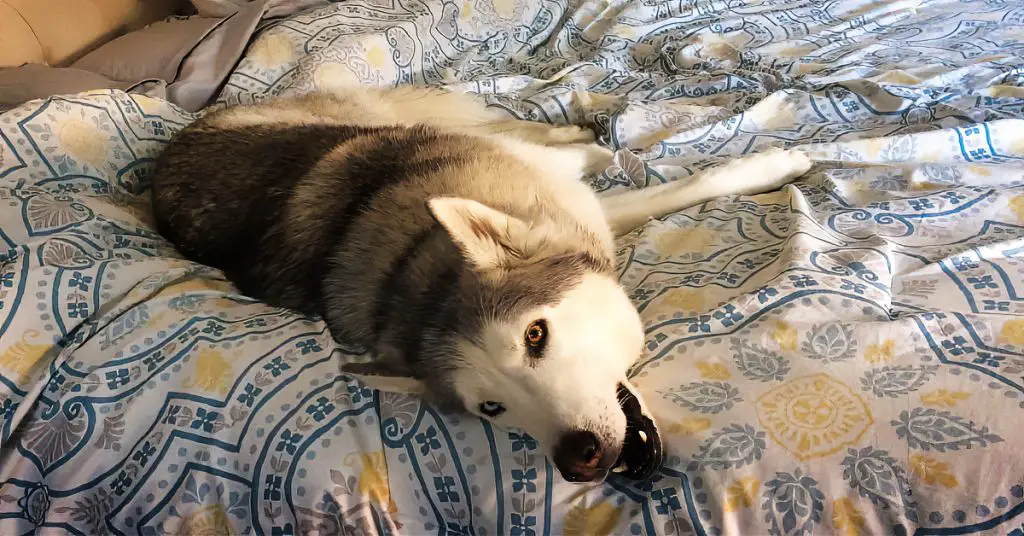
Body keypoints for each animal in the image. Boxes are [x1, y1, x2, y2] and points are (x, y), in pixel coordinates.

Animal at [148, 86, 811, 483]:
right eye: (491, 408)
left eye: (536, 335)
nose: (578, 460)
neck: (416, 268)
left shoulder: (566, 208)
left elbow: (692, 184)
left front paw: (775, 160)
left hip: (405, 117)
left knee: (514, 125)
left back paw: (586, 136)